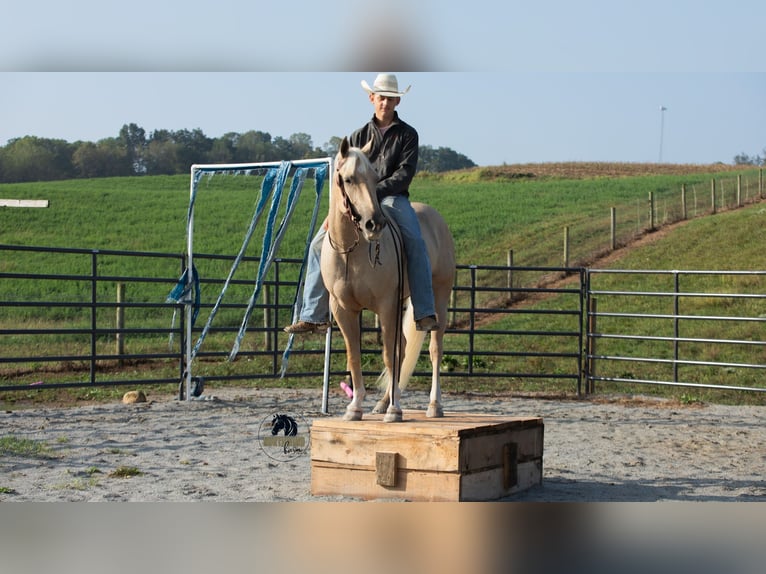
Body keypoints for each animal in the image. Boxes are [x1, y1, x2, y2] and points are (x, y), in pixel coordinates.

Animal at [321, 137, 456, 422]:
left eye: (375, 178)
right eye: (348, 179)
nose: (374, 224)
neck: (352, 252)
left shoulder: (385, 306)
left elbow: (388, 355)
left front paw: (395, 409)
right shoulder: (343, 310)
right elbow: (354, 355)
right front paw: (355, 408)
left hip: (439, 298)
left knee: (434, 349)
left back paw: (433, 405)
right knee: (403, 348)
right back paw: (382, 403)